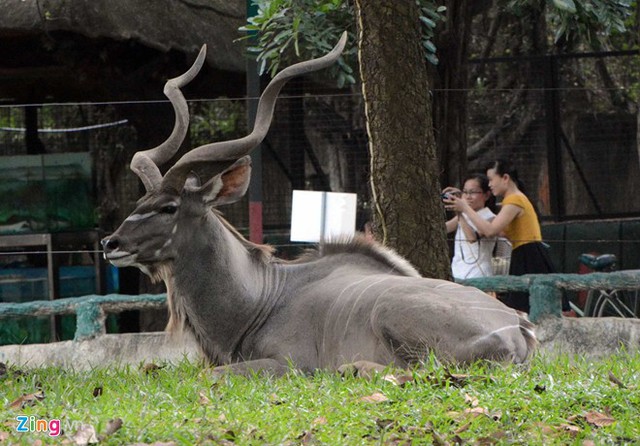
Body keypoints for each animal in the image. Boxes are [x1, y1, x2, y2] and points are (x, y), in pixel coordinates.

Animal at [104, 34, 536, 376]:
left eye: (169, 208)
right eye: (142, 200)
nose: (111, 244)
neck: (261, 298)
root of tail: (517, 327)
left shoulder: (286, 365)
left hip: (392, 315)